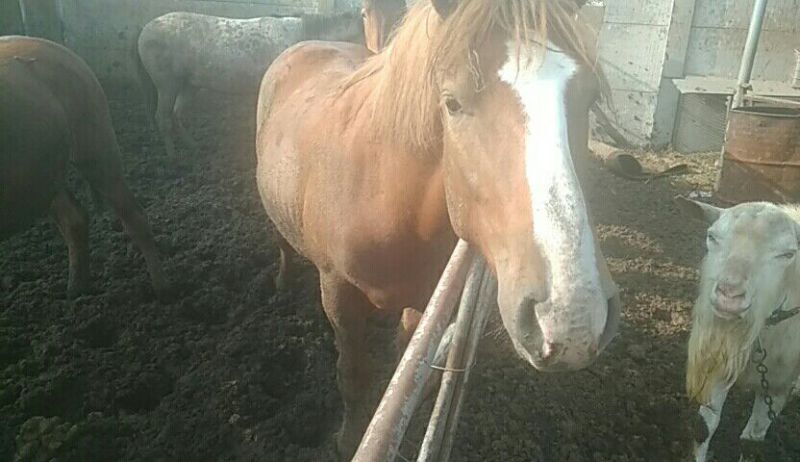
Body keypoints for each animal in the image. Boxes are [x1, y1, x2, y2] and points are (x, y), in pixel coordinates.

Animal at [0, 36, 167, 298]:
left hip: (96, 147)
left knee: (133, 215)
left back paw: (163, 289)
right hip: (44, 174)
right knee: (74, 218)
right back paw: (75, 290)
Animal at [135, 10, 365, 157]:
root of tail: (146, 28)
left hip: (189, 86)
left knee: (176, 114)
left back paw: (193, 146)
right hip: (167, 86)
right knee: (163, 118)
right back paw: (174, 156)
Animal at [255, 0, 620, 457]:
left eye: (590, 96)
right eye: (452, 103)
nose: (572, 318)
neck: (383, 197)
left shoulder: (424, 298)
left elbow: (407, 364)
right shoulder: (338, 295)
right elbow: (352, 376)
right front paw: (349, 440)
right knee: (281, 242)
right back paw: (281, 281)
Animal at [678, 197, 800, 462]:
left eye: (788, 254)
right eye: (712, 237)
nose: (729, 295)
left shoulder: (777, 384)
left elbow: (751, 442)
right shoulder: (718, 361)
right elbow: (703, 427)